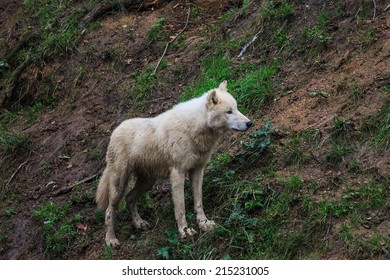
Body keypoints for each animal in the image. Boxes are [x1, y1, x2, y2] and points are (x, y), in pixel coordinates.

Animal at [96, 80, 251, 245]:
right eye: (229, 112)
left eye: (236, 108)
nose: (250, 123)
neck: (194, 129)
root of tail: (115, 131)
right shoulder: (178, 173)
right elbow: (180, 206)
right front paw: (184, 231)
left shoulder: (198, 170)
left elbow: (198, 201)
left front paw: (204, 224)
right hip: (119, 184)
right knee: (109, 210)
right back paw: (111, 239)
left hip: (148, 182)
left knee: (129, 198)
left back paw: (139, 223)